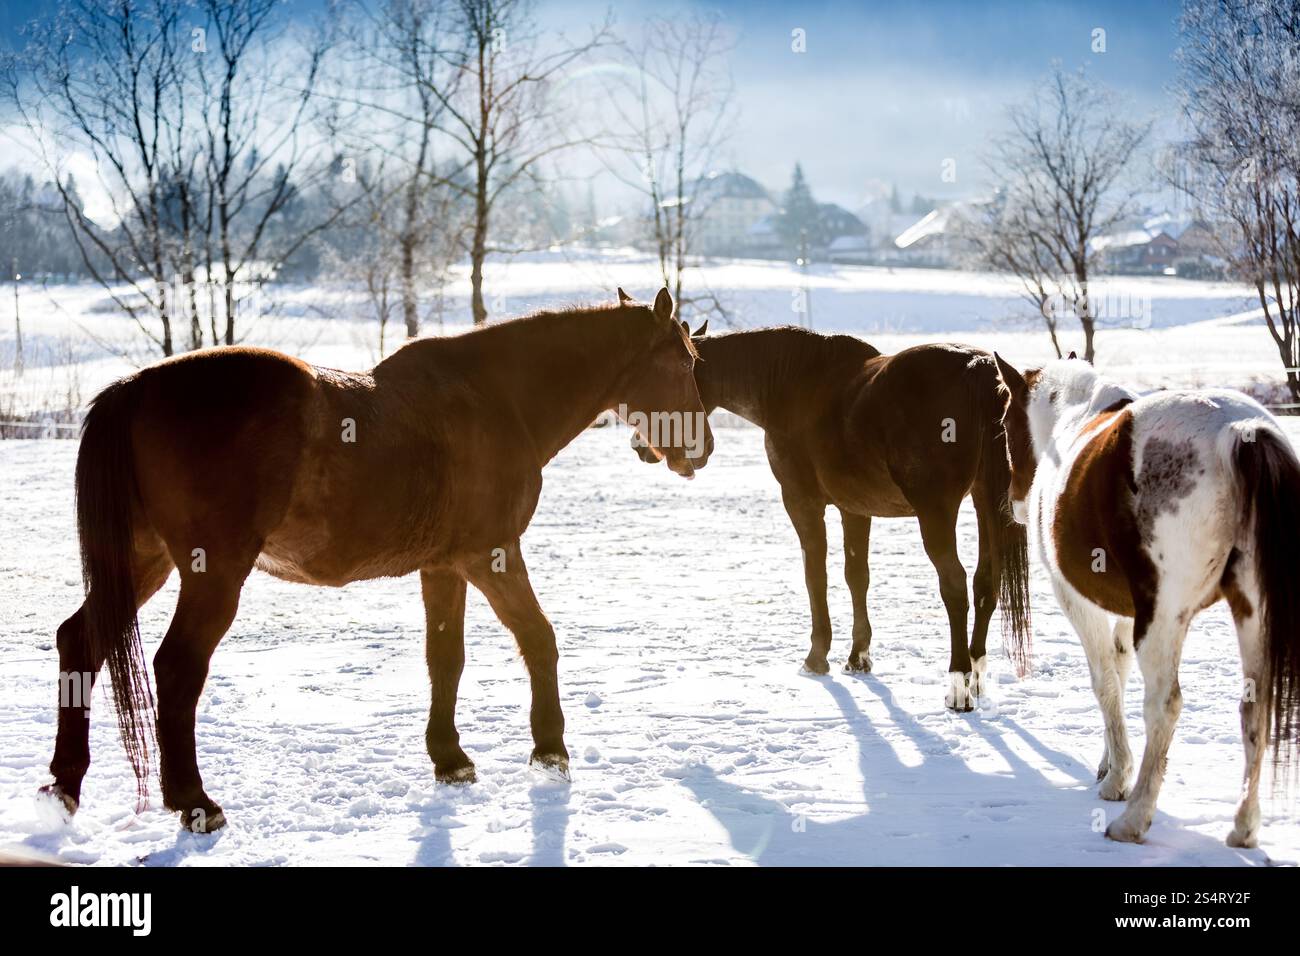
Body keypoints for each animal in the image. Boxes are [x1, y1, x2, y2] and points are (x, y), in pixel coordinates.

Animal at [40, 287, 712, 833]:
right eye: (683, 362)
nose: (699, 451)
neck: (497, 399)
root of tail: (135, 391)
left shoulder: (443, 567)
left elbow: (445, 659)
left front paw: (450, 759)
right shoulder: (490, 554)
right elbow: (538, 639)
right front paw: (549, 750)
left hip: (143, 561)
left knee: (80, 642)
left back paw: (64, 787)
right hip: (214, 572)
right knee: (177, 667)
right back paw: (195, 802)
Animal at [633, 325, 1031, 710]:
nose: (641, 446)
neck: (793, 385)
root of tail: (977, 367)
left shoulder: (802, 503)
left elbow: (816, 577)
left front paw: (817, 656)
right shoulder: (855, 508)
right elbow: (857, 577)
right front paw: (858, 656)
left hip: (936, 510)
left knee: (955, 585)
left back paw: (958, 688)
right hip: (986, 503)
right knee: (985, 583)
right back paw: (976, 677)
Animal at [993, 353, 1300, 846]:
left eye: (1004, 423)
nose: (1017, 504)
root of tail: (1238, 432)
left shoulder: (1080, 602)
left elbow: (1105, 682)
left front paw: (1117, 778)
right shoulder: (1124, 610)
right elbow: (1118, 672)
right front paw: (1109, 762)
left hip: (1165, 618)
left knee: (1165, 705)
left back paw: (1134, 818)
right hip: (1252, 612)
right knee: (1254, 707)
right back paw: (1243, 827)